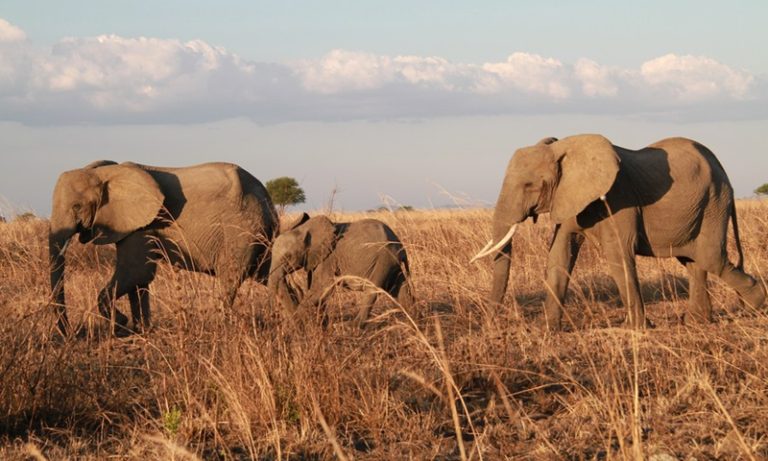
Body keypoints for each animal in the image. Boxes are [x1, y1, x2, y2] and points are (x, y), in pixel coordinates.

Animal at [49, 160, 277, 335]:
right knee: (269, 273)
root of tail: (266, 197)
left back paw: (222, 327)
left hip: (241, 232)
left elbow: (136, 272)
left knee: (230, 278)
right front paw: (141, 329)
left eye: (77, 207)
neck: (105, 173)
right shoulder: (134, 225)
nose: (72, 334)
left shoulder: (142, 226)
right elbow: (139, 280)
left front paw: (122, 325)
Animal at [268, 214, 413, 328]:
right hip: (391, 263)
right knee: (399, 286)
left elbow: (322, 287)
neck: (304, 229)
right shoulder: (315, 259)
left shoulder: (328, 258)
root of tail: (400, 245)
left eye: (288, 257)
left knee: (372, 290)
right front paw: (320, 324)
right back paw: (411, 317)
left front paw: (301, 321)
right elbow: (315, 289)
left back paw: (351, 326)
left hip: (383, 259)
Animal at [472, 134, 765, 330]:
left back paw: (754, 303)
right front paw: (547, 330)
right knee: (693, 262)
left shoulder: (617, 197)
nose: (490, 325)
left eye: (529, 185)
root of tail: (723, 170)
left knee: (710, 258)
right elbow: (559, 255)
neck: (565, 147)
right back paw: (696, 322)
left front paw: (636, 329)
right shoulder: (569, 198)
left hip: (714, 202)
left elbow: (617, 255)